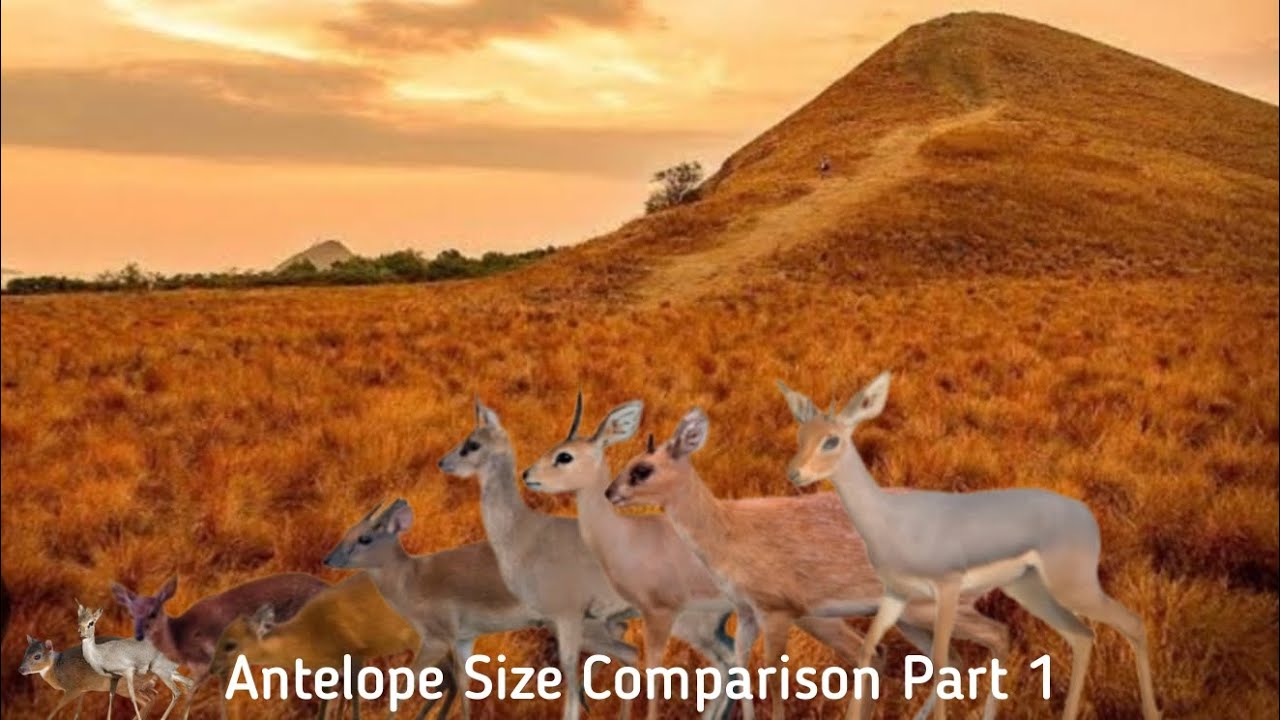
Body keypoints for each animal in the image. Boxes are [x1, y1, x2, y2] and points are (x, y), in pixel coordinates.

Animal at [22, 634, 158, 719]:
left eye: (37, 656)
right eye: (25, 652)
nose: (21, 669)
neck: (56, 668)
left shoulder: (73, 689)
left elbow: (56, 708)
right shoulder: (84, 689)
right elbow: (77, 712)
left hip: (124, 686)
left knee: (147, 700)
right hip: (141, 685)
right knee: (152, 697)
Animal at [323, 499, 640, 720]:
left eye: (365, 538)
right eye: (349, 531)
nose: (328, 559)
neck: (412, 578)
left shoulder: (436, 640)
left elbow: (404, 685)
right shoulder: (464, 640)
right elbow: (464, 684)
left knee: (630, 654)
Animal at [605, 409, 1011, 720]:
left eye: (642, 469)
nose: (610, 493)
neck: (729, 527)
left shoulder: (776, 614)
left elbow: (773, 678)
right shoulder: (748, 614)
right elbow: (743, 669)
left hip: (930, 611)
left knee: (997, 637)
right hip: (910, 620)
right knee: (948, 663)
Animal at [778, 372, 1160, 720]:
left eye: (831, 440)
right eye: (800, 435)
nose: (794, 474)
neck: (892, 520)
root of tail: (1086, 514)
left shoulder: (947, 587)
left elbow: (941, 662)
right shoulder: (895, 594)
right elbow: (868, 650)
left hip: (1074, 588)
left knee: (1133, 623)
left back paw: (1153, 711)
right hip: (1029, 589)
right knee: (1081, 636)